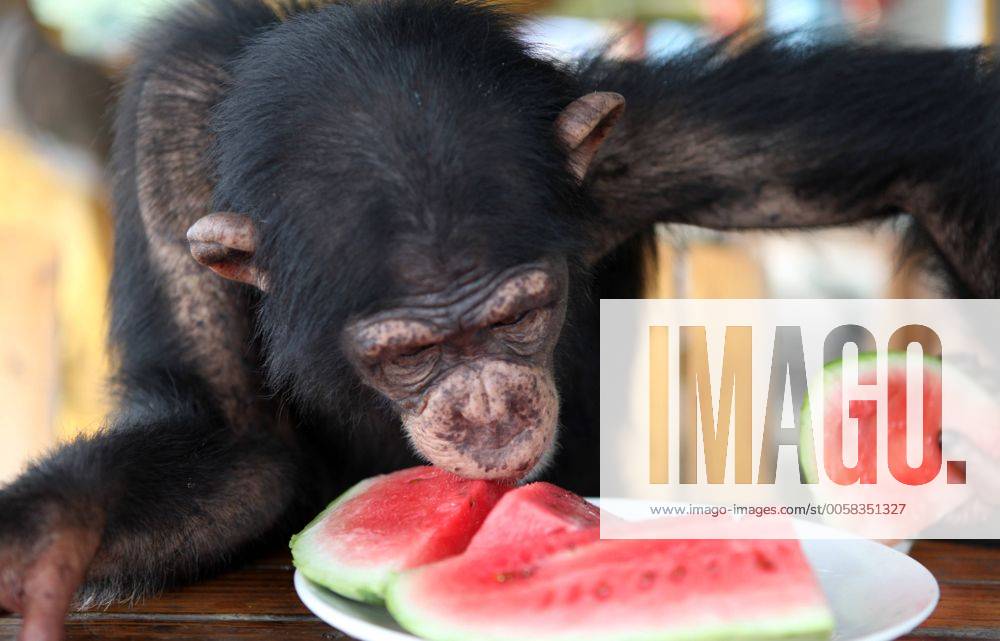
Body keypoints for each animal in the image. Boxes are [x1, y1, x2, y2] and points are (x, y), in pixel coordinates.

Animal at [1, 1, 997, 639]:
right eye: (412, 352)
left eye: (522, 314)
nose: (489, 411)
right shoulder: (166, 139)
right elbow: (230, 434)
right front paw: (52, 531)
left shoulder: (637, 147)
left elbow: (934, 156)